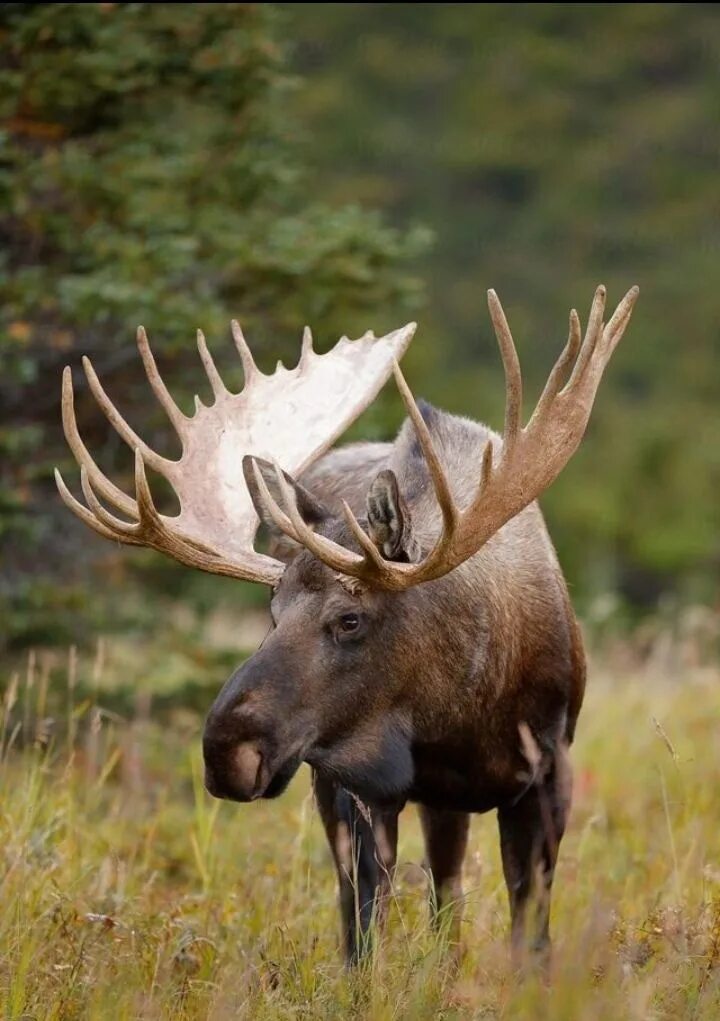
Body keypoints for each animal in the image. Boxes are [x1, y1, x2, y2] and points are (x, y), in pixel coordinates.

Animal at [56, 285, 633, 963]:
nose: (226, 750)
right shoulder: (354, 783)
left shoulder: (546, 770)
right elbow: (363, 938)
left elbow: (530, 938)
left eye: (350, 618)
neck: (460, 711)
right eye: (270, 609)